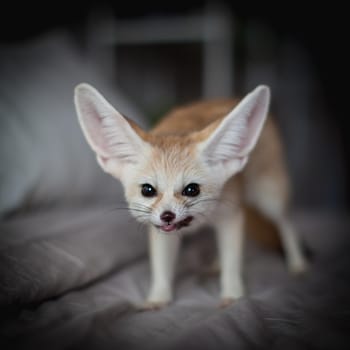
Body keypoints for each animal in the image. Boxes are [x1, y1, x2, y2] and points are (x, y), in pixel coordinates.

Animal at [74, 84, 306, 308]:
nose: (167, 216)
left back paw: (298, 263)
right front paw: (158, 299)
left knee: (286, 224)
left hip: (270, 199)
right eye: (148, 190)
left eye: (192, 190)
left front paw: (233, 296)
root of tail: (229, 98)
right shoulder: (162, 232)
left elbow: (232, 263)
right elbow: (161, 268)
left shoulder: (231, 215)